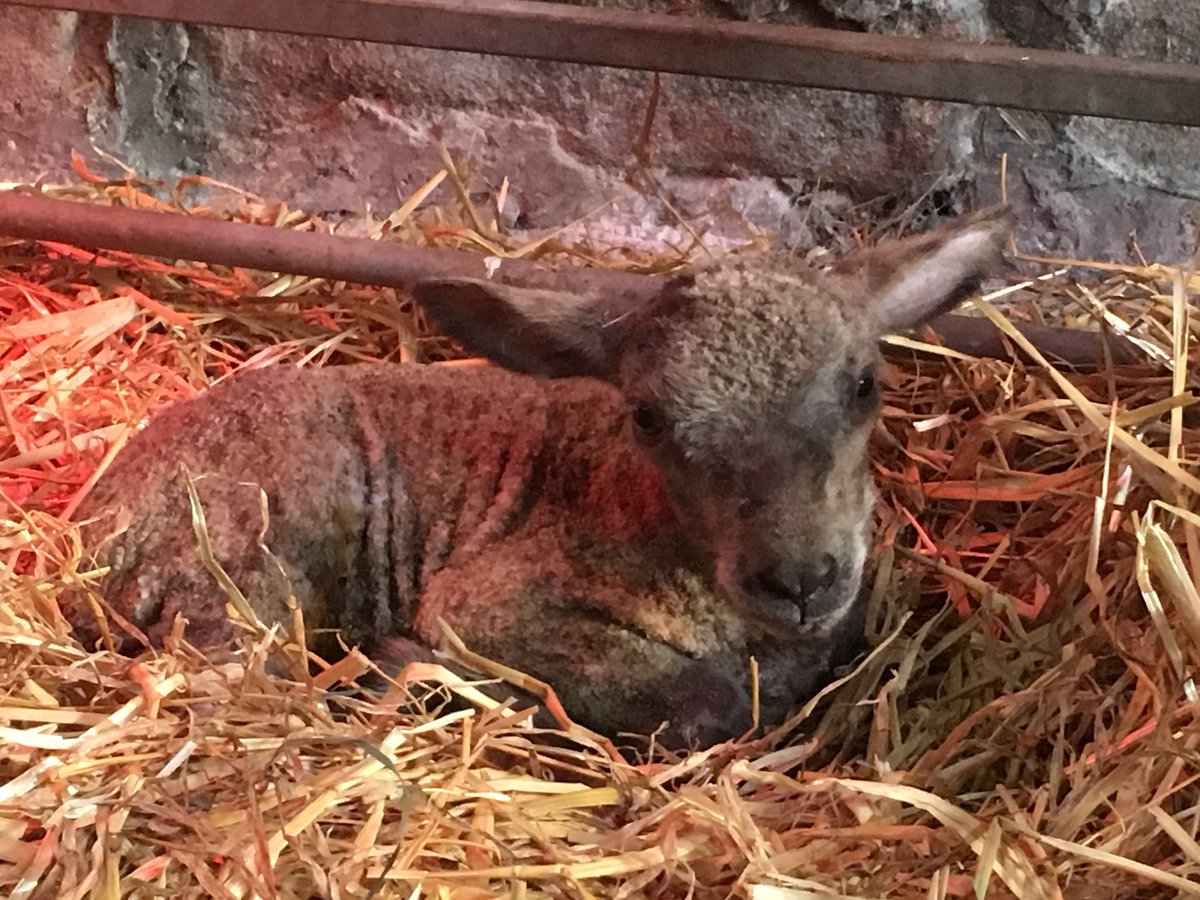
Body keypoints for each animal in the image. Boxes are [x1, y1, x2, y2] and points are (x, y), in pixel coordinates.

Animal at [63, 206, 1013, 748]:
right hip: (248, 557)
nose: (801, 578)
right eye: (648, 418)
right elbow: (709, 700)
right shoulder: (491, 604)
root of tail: (86, 536)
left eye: (865, 385)